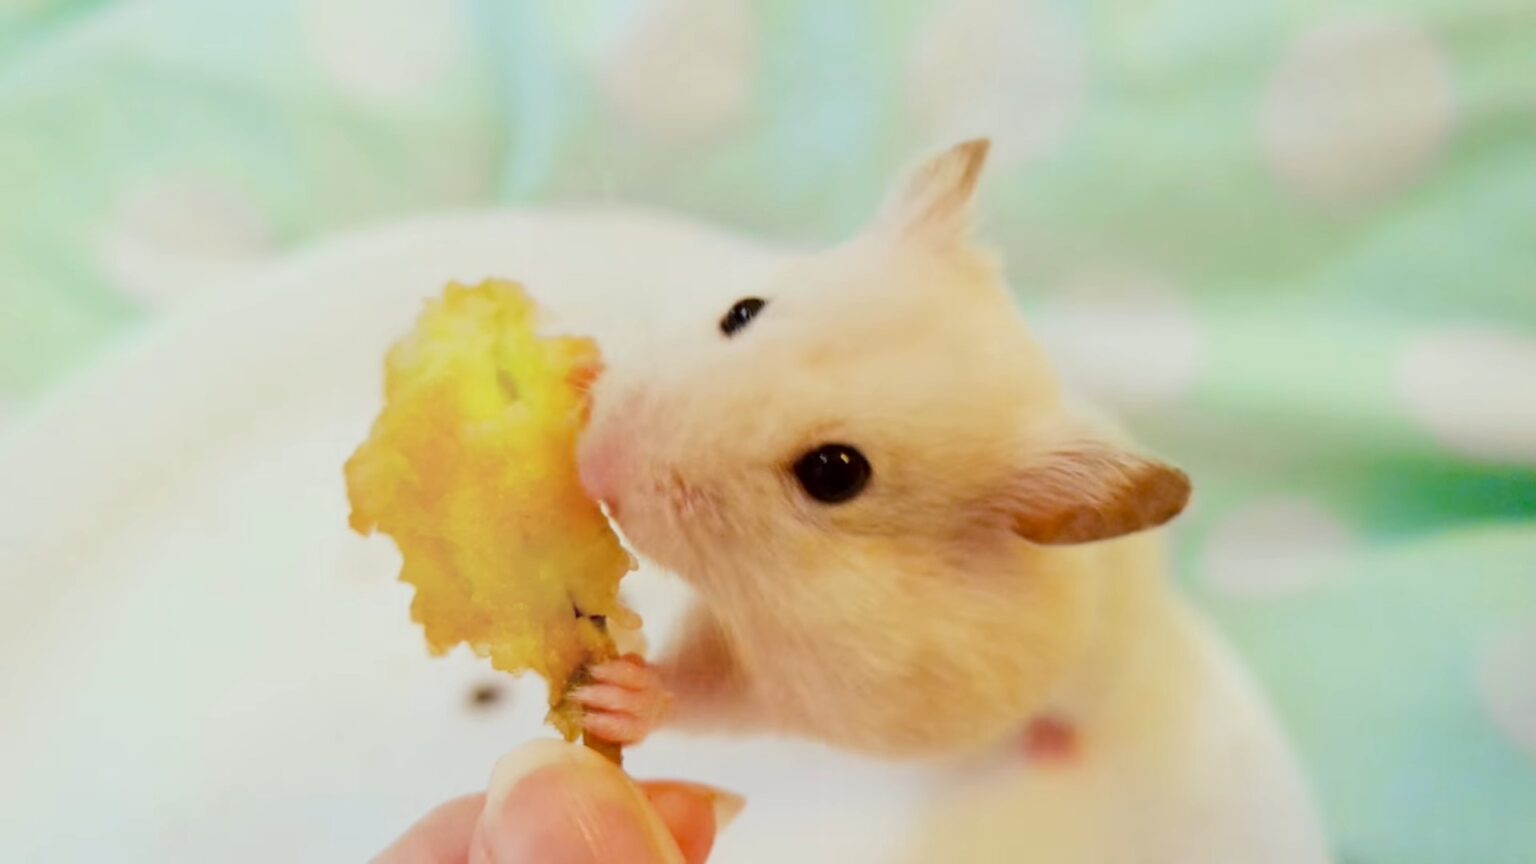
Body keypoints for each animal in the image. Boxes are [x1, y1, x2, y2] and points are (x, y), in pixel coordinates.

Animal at [572, 140, 1330, 861]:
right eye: (743, 311)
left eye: (835, 473)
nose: (593, 464)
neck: (767, 583)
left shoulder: (832, 685)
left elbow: (713, 691)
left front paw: (618, 696)